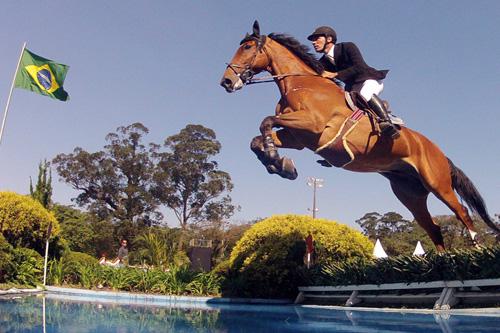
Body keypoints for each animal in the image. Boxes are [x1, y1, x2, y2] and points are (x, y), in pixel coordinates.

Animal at [220, 20, 500, 250]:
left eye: (247, 47)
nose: (226, 82)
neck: (301, 84)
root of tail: (439, 152)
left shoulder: (312, 125)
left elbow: (265, 121)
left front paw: (274, 158)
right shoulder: (297, 137)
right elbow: (256, 138)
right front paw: (280, 165)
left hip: (437, 182)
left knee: (462, 212)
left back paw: (475, 249)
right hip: (409, 192)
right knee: (432, 227)